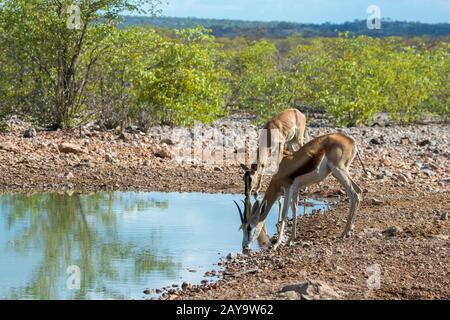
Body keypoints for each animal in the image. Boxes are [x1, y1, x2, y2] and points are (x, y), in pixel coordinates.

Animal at [234, 133, 364, 252]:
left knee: (355, 194)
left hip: (339, 171)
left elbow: (284, 213)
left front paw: (277, 244)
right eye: (242, 228)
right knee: (358, 190)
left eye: (249, 228)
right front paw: (291, 240)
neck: (282, 170)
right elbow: (295, 209)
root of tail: (351, 141)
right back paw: (349, 231)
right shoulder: (295, 189)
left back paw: (344, 233)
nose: (245, 246)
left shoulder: (288, 189)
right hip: (338, 173)